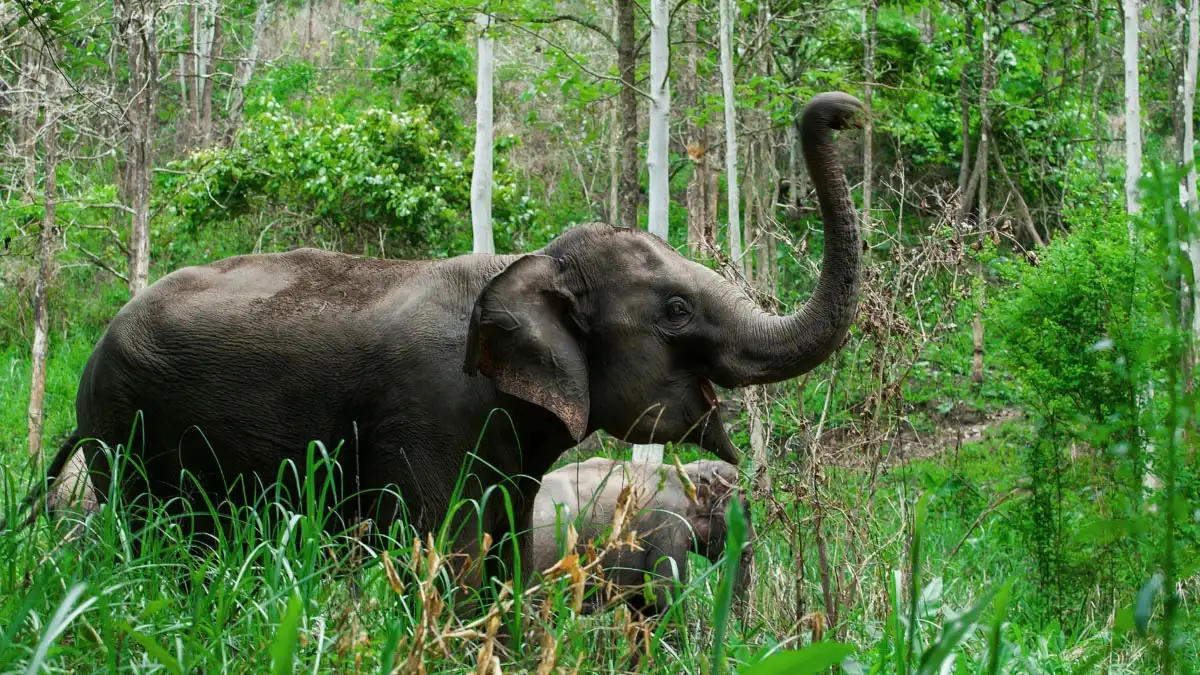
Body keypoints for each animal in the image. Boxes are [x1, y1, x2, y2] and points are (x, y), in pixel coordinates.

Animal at [7, 91, 864, 600]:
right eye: (678, 309)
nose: (843, 112)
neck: (520, 264)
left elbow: (504, 553)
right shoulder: (431, 414)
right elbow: (448, 551)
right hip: (124, 433)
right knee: (146, 535)